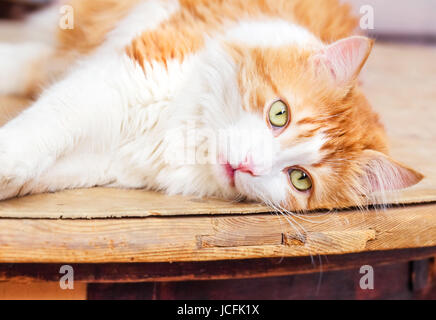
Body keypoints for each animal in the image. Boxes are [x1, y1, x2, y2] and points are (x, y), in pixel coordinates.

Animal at [0, 0, 422, 212]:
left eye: (300, 179)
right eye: (279, 113)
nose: (247, 165)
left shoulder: (111, 159)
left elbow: (39, 171)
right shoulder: (124, 79)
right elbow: (44, 127)